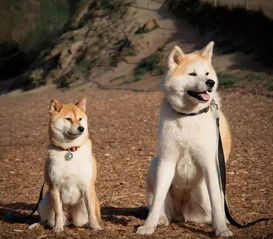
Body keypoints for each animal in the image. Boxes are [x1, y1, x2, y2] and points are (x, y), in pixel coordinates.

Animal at [36, 96, 101, 232]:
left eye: (80, 119)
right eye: (68, 119)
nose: (81, 128)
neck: (69, 150)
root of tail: (71, 219)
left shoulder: (88, 186)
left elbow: (91, 212)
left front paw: (95, 226)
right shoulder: (54, 188)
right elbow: (58, 213)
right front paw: (58, 228)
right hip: (44, 201)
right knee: (46, 219)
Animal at [136, 42, 232, 236]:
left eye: (207, 74)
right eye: (192, 74)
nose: (210, 83)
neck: (188, 116)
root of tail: (182, 213)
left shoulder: (210, 162)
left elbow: (217, 202)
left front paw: (221, 229)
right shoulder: (167, 160)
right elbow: (158, 199)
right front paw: (149, 226)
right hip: (155, 164)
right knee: (162, 207)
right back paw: (162, 219)